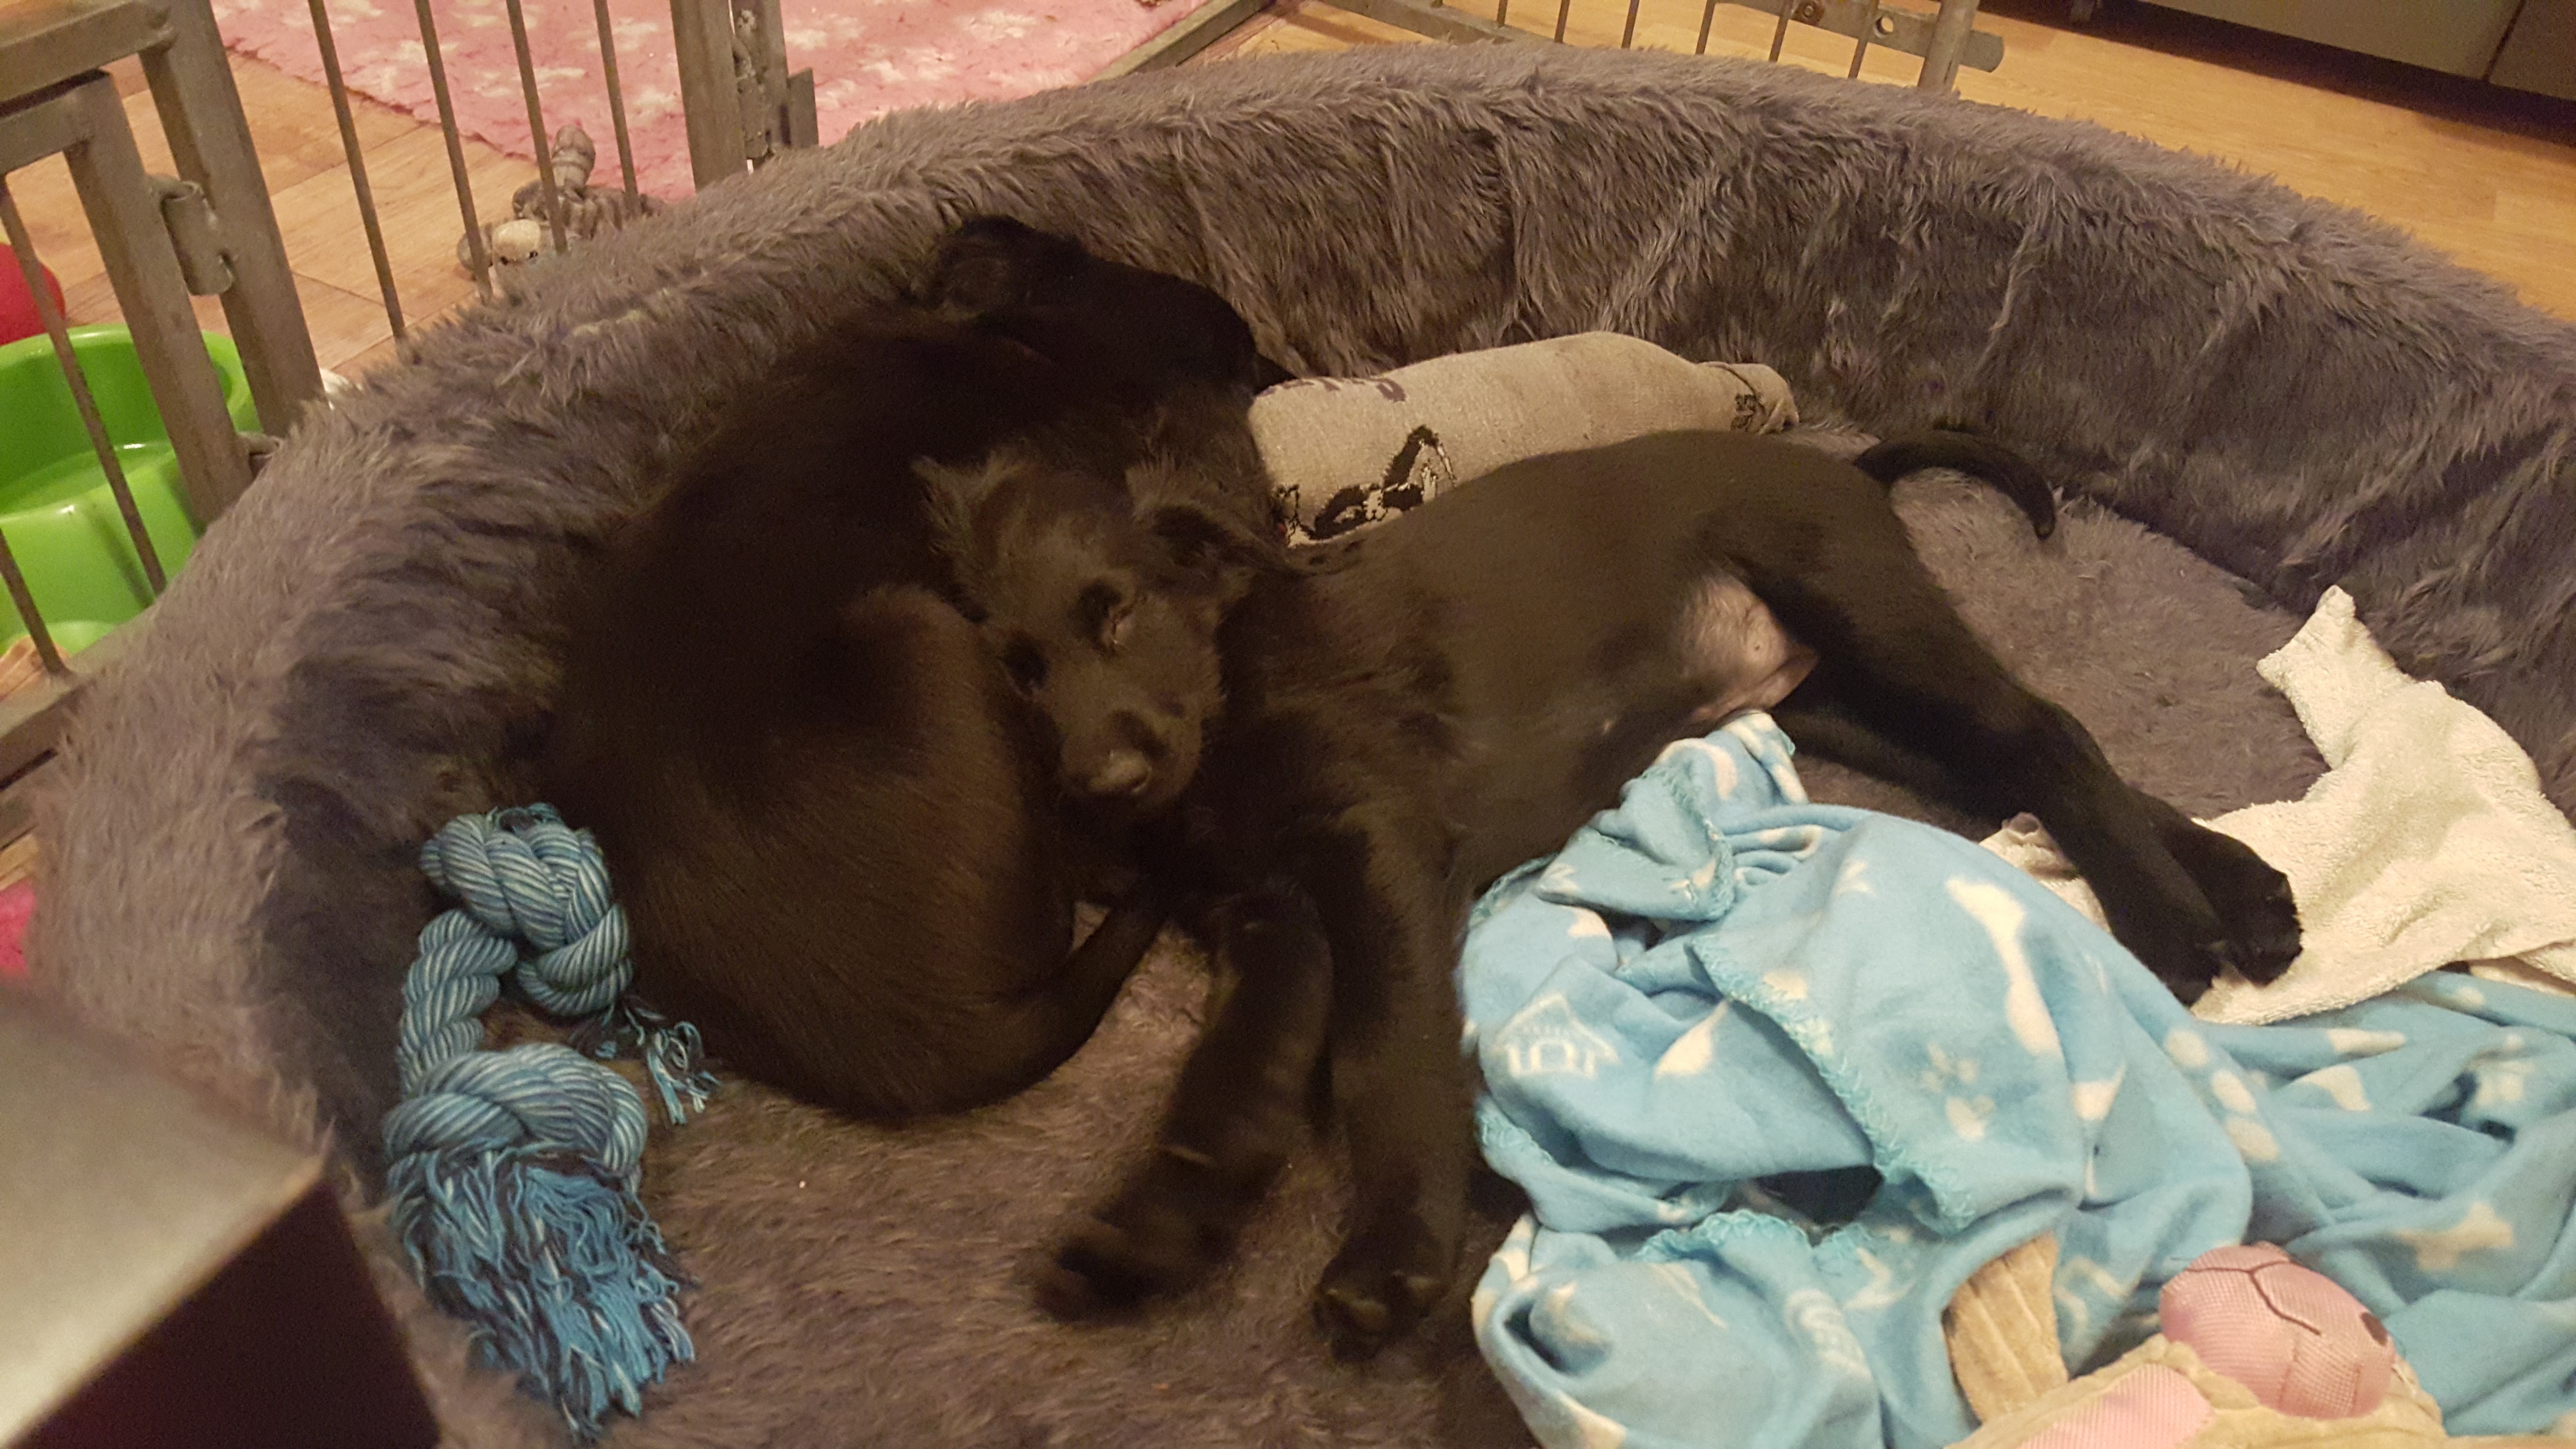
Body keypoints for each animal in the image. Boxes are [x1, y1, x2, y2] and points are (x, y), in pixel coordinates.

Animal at [930, 425, 2303, 1357]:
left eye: (1116, 614)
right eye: (1015, 669)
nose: (1103, 784)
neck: (1224, 694)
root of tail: (1847, 465)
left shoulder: (1375, 848)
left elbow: (1384, 1056)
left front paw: (1394, 1251)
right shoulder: (1270, 916)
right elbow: (1236, 1076)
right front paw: (1156, 1234)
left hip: (1866, 615)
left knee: (2045, 731)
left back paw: (2171, 923)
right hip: (1839, 697)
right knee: (2025, 760)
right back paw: (2246, 895)